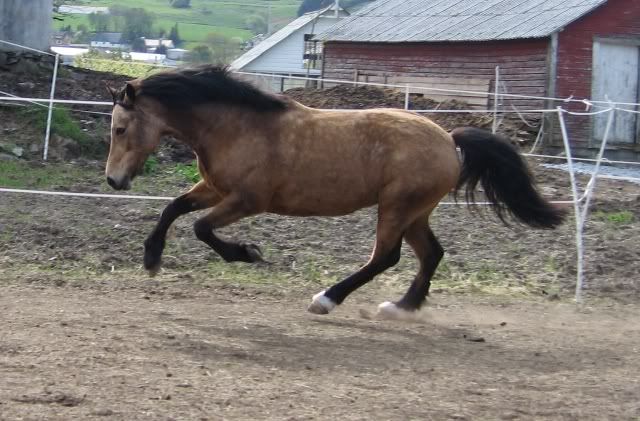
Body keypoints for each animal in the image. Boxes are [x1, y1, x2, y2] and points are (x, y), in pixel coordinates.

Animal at [105, 65, 564, 319]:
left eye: (120, 129)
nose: (113, 181)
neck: (237, 127)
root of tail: (449, 139)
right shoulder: (215, 188)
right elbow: (173, 208)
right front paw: (151, 259)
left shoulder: (247, 200)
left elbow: (201, 227)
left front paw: (247, 253)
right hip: (416, 212)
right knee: (431, 254)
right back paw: (400, 308)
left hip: (397, 206)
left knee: (386, 257)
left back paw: (326, 299)